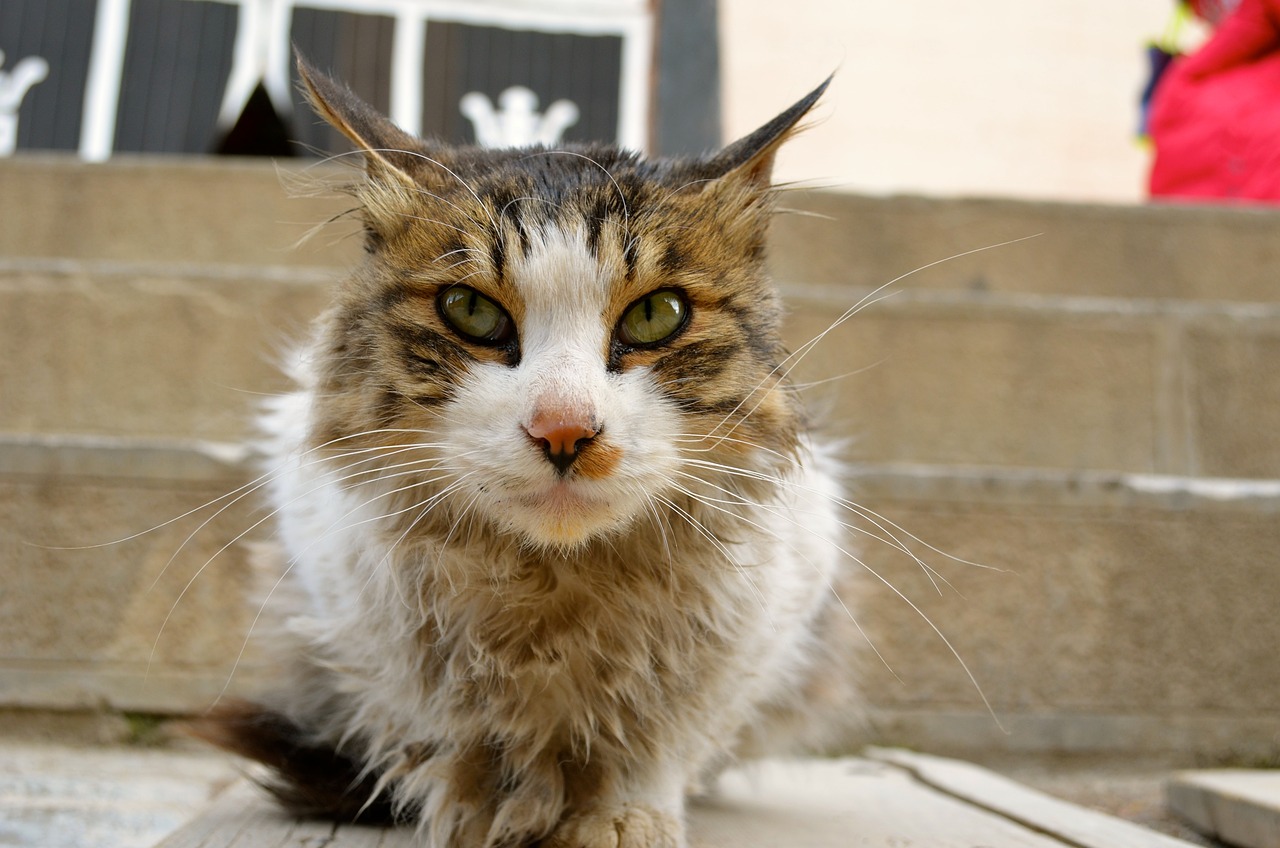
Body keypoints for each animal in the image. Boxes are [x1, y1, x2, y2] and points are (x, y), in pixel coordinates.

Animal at [189, 59, 865, 848]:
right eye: (470, 311)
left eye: (656, 314)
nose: (563, 429)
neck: (552, 587)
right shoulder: (350, 605)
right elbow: (452, 724)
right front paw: (478, 808)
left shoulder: (769, 617)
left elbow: (660, 736)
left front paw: (621, 817)